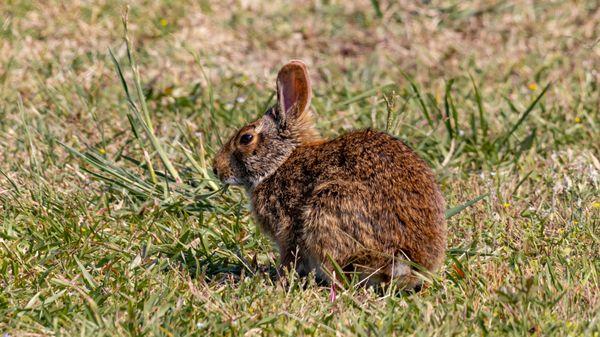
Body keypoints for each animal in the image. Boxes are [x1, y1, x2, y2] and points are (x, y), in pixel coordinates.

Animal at [212, 59, 446, 288]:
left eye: (246, 138)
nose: (216, 168)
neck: (281, 161)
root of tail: (405, 261)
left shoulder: (287, 229)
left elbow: (289, 258)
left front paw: (277, 280)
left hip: (327, 210)